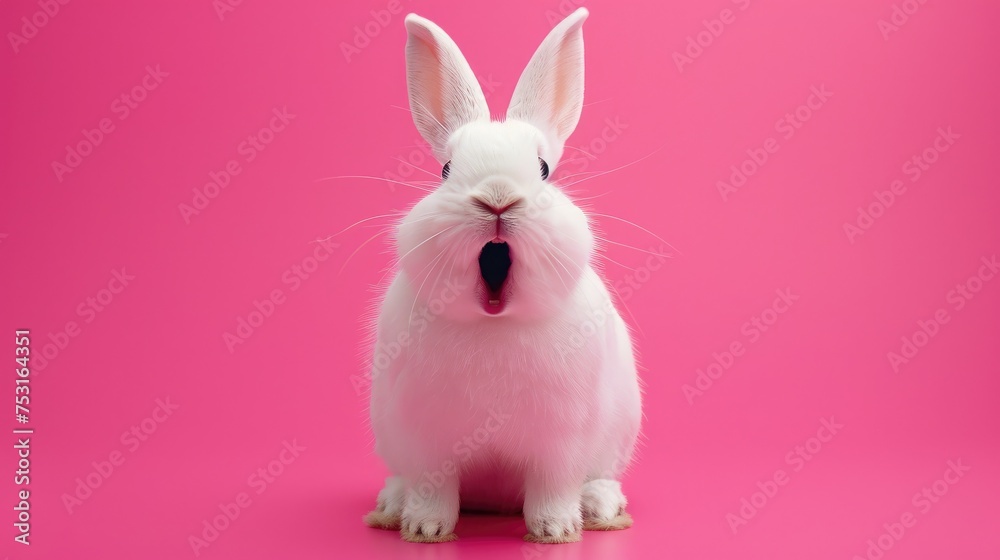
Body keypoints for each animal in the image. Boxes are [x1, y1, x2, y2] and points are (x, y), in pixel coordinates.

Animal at [362, 8, 642, 544]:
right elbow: (433, 487)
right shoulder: (427, 440)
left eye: (544, 168)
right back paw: (392, 502)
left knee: (596, 476)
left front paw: (555, 530)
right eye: (446, 170)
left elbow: (553, 487)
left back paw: (599, 506)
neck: (494, 322)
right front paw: (426, 528)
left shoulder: (560, 441)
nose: (497, 196)